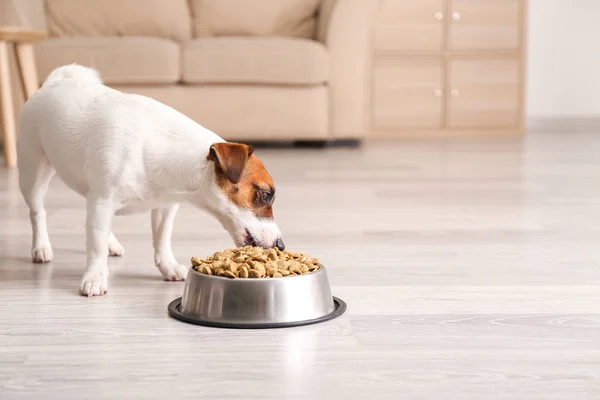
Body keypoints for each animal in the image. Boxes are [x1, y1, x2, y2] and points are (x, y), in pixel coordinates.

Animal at [16, 64, 284, 296]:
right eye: (265, 194)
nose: (281, 245)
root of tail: (55, 82)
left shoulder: (164, 207)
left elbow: (161, 239)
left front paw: (168, 266)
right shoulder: (103, 200)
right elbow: (95, 247)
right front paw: (94, 277)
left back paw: (111, 244)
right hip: (33, 175)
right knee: (38, 212)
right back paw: (41, 247)